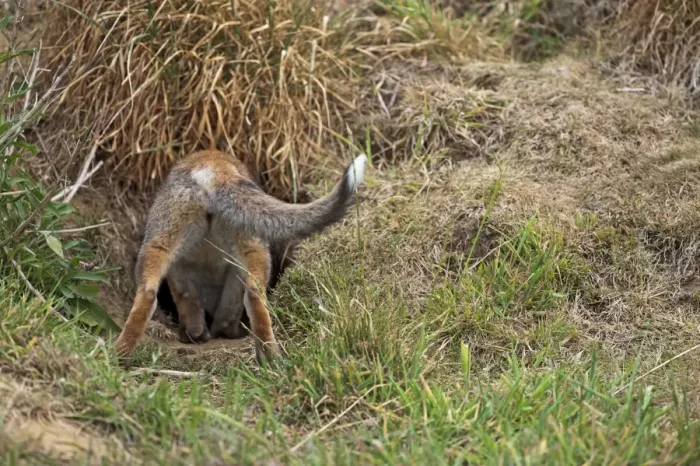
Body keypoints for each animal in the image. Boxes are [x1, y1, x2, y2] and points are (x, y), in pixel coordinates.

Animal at [114, 149, 367, 363]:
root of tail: (212, 164)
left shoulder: (179, 268)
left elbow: (191, 305)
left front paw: (196, 334)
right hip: (254, 249)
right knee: (252, 294)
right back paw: (267, 354)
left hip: (161, 245)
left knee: (148, 295)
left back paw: (122, 351)